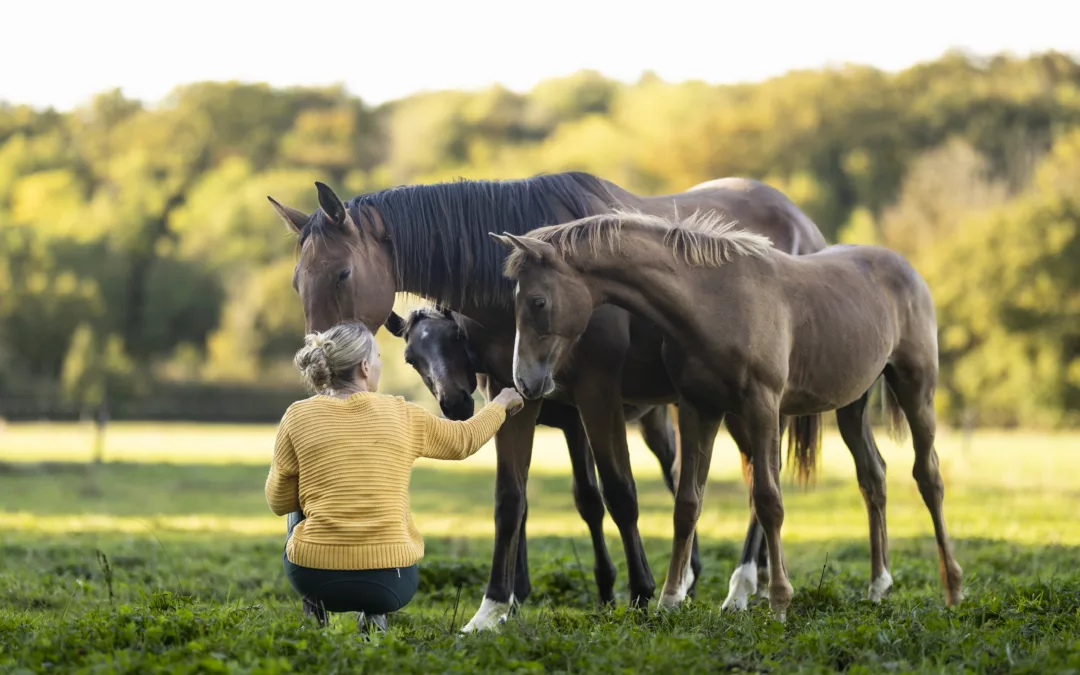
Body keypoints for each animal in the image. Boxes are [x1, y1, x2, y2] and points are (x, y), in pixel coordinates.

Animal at [267, 170, 825, 630]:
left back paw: (739, 586)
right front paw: (493, 608)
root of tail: (803, 226)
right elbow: (511, 500)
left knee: (753, 481)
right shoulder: (515, 394)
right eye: (296, 281)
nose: (316, 363)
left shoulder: (597, 394)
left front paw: (641, 595)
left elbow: (619, 494)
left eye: (342, 273)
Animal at [494, 211, 963, 622]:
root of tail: (907, 270)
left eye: (537, 301)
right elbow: (687, 502)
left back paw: (953, 588)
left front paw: (778, 602)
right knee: (873, 477)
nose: (524, 382)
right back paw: (878, 586)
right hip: (852, 405)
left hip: (916, 390)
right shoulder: (698, 408)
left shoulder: (762, 405)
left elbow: (769, 500)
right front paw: (669, 599)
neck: (715, 299)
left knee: (929, 477)